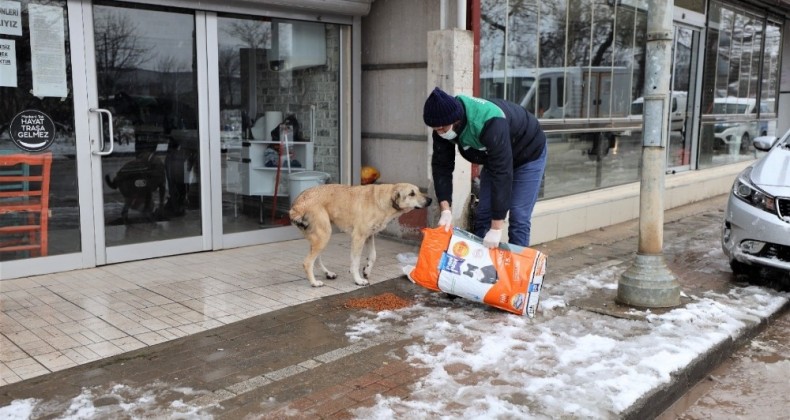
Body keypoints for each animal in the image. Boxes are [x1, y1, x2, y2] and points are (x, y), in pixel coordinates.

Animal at [290, 182, 434, 288]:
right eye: (411, 193)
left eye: (419, 190)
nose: (431, 199)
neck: (382, 200)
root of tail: (297, 205)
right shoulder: (358, 237)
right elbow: (355, 262)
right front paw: (358, 280)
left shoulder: (369, 236)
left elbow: (373, 256)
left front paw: (367, 270)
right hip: (324, 235)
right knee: (308, 262)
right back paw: (314, 283)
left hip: (320, 237)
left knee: (316, 259)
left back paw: (328, 273)